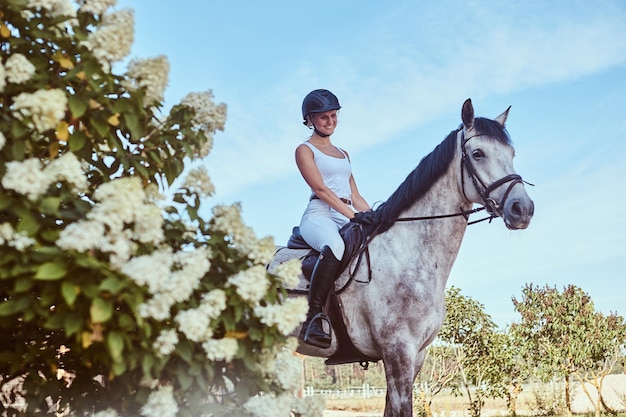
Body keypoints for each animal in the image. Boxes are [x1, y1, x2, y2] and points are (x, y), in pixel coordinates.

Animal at [270, 99, 532, 414]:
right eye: (478, 153)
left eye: (512, 154)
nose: (523, 209)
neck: (408, 254)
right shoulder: (398, 352)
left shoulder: (417, 355)